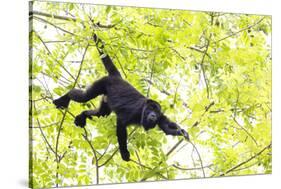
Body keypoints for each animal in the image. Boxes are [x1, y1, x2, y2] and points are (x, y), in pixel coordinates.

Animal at [53, 34, 188, 162]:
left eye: (156, 111)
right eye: (150, 109)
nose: (153, 115)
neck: (143, 112)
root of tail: (117, 77)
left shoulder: (161, 117)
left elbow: (166, 128)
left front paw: (181, 132)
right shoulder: (135, 111)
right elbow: (121, 124)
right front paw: (124, 152)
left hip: (106, 98)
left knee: (102, 113)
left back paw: (82, 116)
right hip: (102, 83)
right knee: (85, 96)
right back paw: (63, 99)